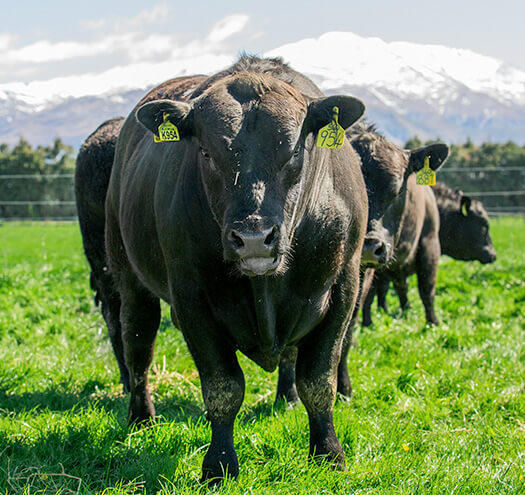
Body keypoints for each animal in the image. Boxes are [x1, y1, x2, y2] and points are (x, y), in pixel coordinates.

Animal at [103, 56, 368, 482]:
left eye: (295, 151)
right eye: (207, 153)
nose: (255, 237)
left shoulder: (343, 289)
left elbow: (318, 382)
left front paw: (328, 453)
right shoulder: (191, 300)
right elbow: (223, 388)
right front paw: (220, 464)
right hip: (129, 278)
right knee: (138, 346)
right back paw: (141, 417)